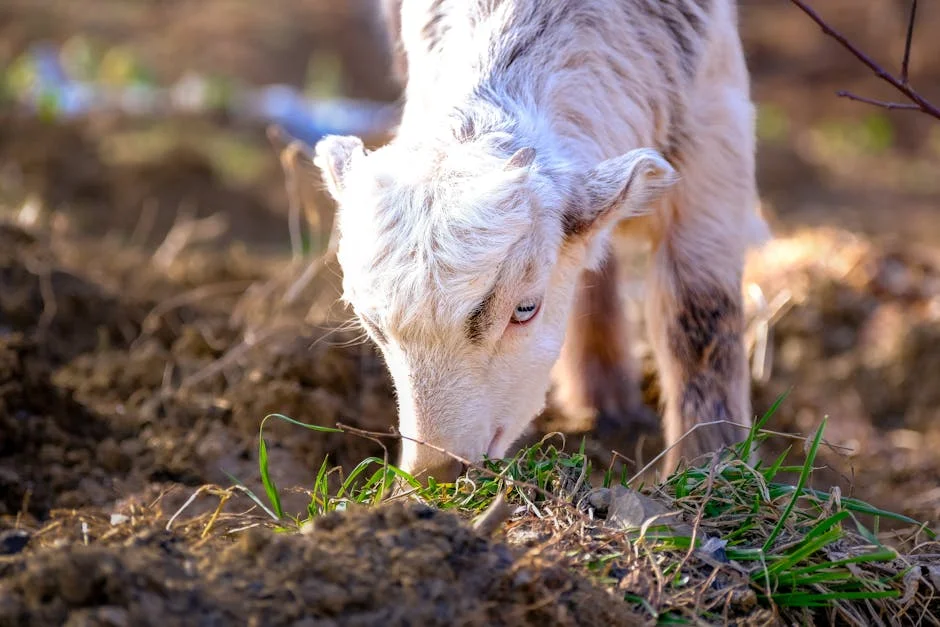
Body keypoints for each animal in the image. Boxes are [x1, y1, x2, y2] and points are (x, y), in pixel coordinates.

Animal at [314, 0, 771, 481]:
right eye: (370, 324)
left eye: (525, 310)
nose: (436, 473)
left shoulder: (714, 132)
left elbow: (699, 319)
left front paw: (712, 470)